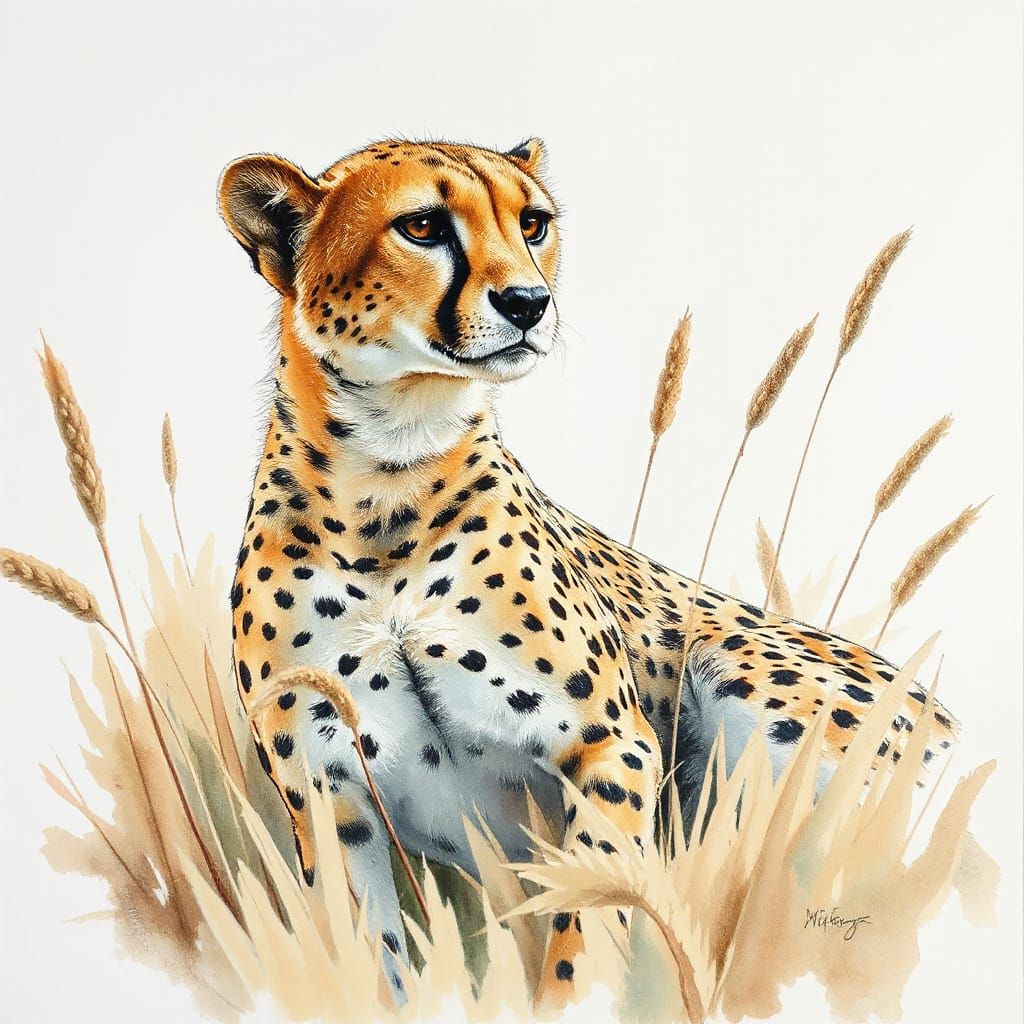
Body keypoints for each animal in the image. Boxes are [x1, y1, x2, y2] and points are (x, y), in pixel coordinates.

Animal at [219, 137, 957, 1010]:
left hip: (747, 675)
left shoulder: (612, 745)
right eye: (423, 225)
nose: (529, 302)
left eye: (533, 222)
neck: (388, 478)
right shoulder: (328, 793)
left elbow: (592, 919)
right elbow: (368, 954)